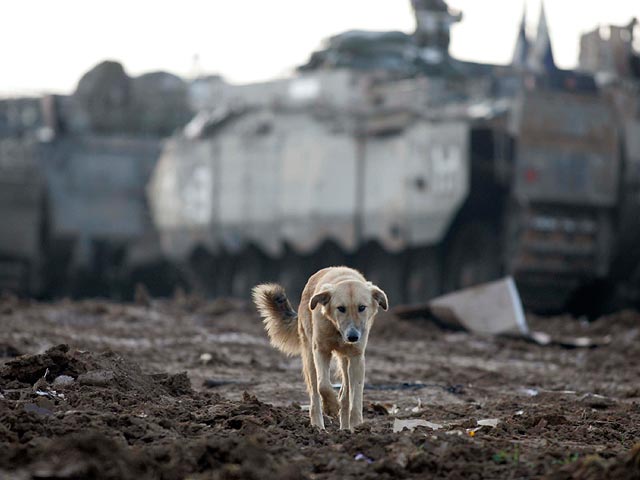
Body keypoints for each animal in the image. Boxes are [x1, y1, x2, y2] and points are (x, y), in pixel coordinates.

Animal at [252, 266, 388, 432]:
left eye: (362, 308)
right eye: (341, 308)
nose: (353, 337)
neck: (337, 331)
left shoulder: (356, 357)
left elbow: (355, 397)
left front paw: (357, 426)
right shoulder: (321, 352)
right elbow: (323, 385)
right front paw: (330, 407)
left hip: (345, 361)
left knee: (345, 393)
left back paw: (345, 428)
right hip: (310, 358)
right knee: (315, 394)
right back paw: (318, 426)